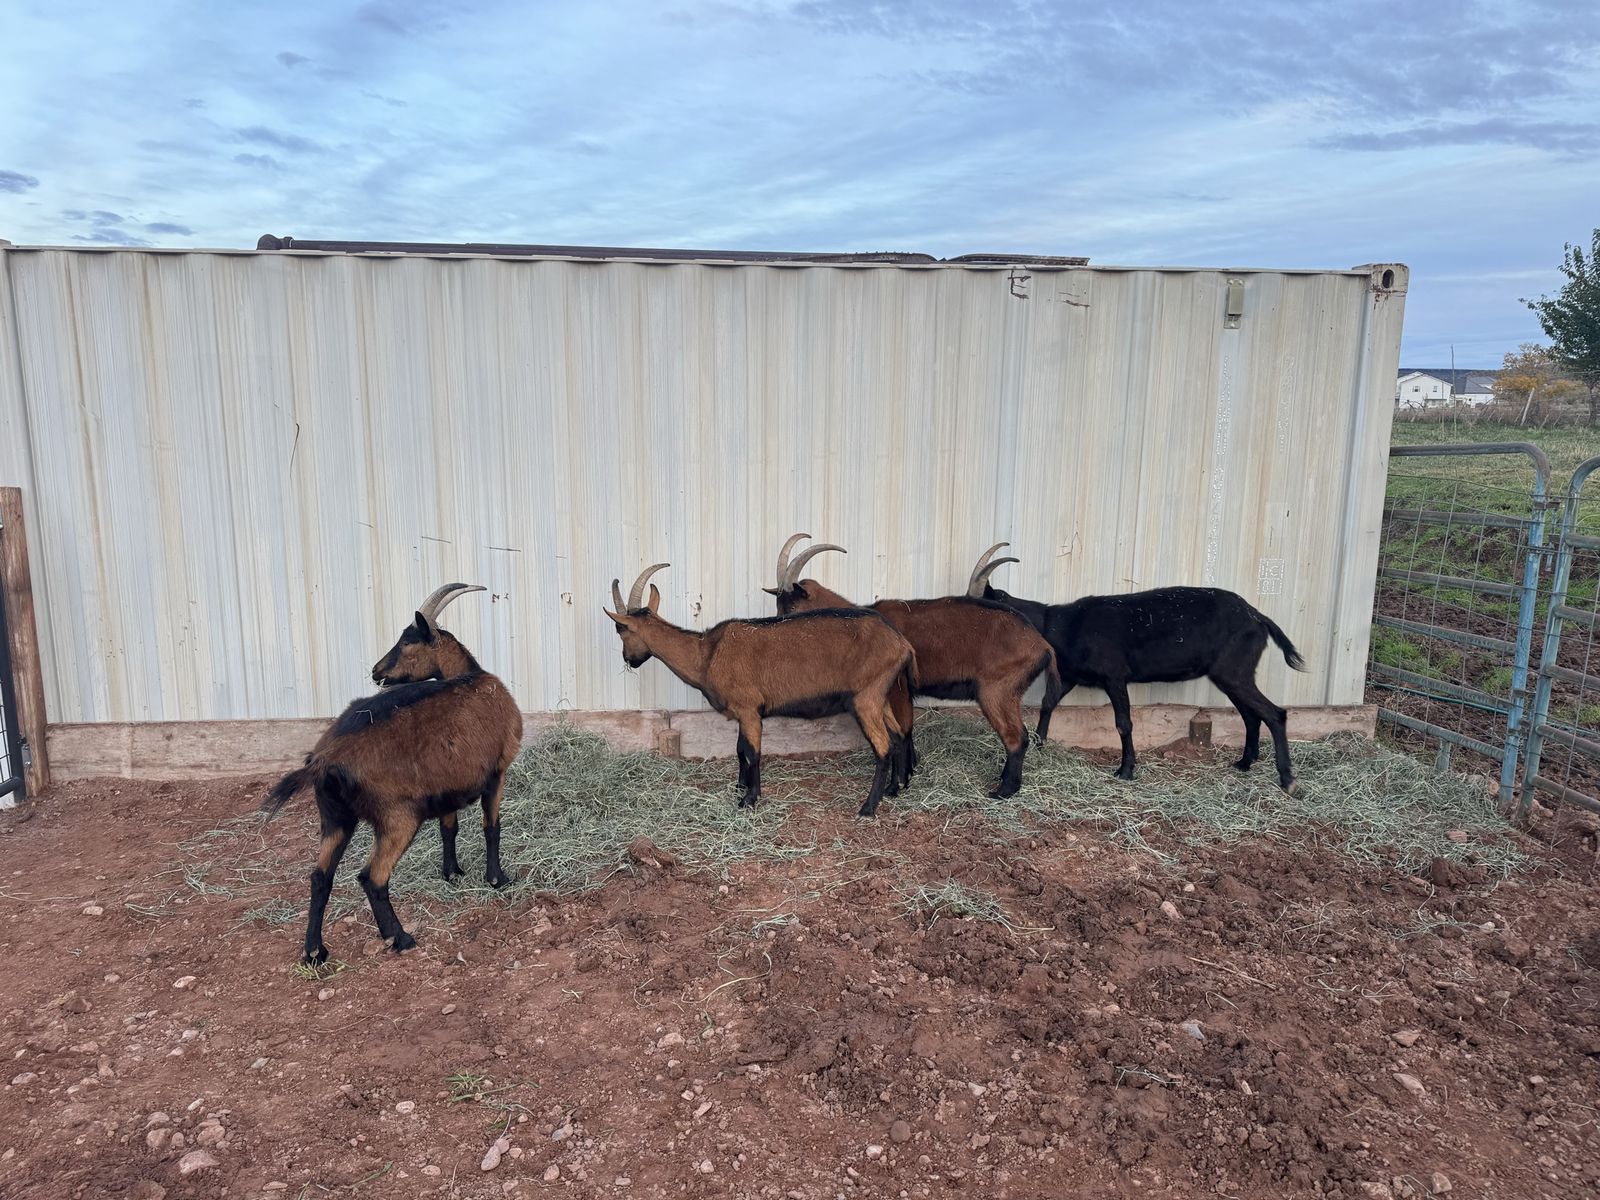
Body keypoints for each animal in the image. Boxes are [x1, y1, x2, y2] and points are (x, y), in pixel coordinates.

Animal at [262, 584, 523, 964]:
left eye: (407, 642)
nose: (376, 671)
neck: (473, 678)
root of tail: (324, 760)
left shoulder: (448, 789)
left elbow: (450, 828)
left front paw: (452, 873)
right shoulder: (498, 772)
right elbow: (492, 828)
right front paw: (497, 879)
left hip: (335, 817)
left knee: (320, 876)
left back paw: (314, 951)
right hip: (396, 817)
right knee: (372, 877)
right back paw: (399, 937)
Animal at [606, 563, 915, 817]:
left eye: (621, 630)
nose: (628, 659)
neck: (707, 654)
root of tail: (901, 644)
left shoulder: (748, 708)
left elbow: (752, 752)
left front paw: (749, 800)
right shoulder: (744, 712)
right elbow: (740, 749)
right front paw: (740, 788)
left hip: (866, 698)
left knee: (883, 746)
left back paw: (868, 807)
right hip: (881, 696)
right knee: (899, 736)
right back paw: (894, 789)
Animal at [766, 535, 1056, 799]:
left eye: (792, 606)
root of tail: (1041, 644)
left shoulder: (897, 690)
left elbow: (902, 733)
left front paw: (897, 785)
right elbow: (907, 732)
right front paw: (910, 772)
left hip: (997, 692)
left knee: (1017, 737)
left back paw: (1004, 791)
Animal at [976, 545, 1307, 791]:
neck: (1061, 625)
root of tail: (1259, 618)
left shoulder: (1114, 676)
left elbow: (1123, 722)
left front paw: (1125, 770)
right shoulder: (1073, 676)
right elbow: (1048, 703)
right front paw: (1041, 744)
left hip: (1234, 672)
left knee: (1274, 713)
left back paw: (1287, 780)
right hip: (1232, 676)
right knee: (1252, 715)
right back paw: (1244, 763)